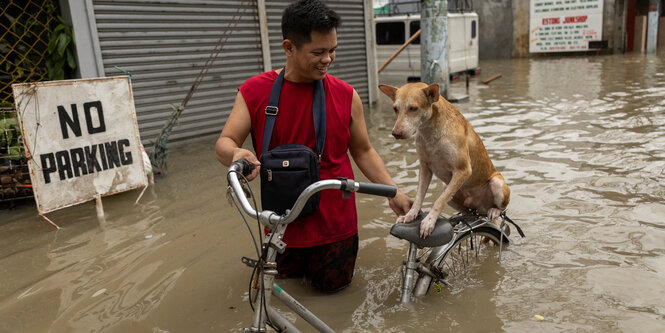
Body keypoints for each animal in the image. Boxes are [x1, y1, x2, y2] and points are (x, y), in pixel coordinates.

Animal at [378, 81, 508, 237]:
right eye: (395, 109)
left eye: (413, 108)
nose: (396, 133)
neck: (430, 132)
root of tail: (481, 208)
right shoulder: (425, 167)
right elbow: (419, 197)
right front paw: (410, 214)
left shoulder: (463, 170)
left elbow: (439, 200)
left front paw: (429, 221)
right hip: (449, 187)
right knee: (467, 211)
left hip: (496, 183)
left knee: (501, 208)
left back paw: (494, 210)